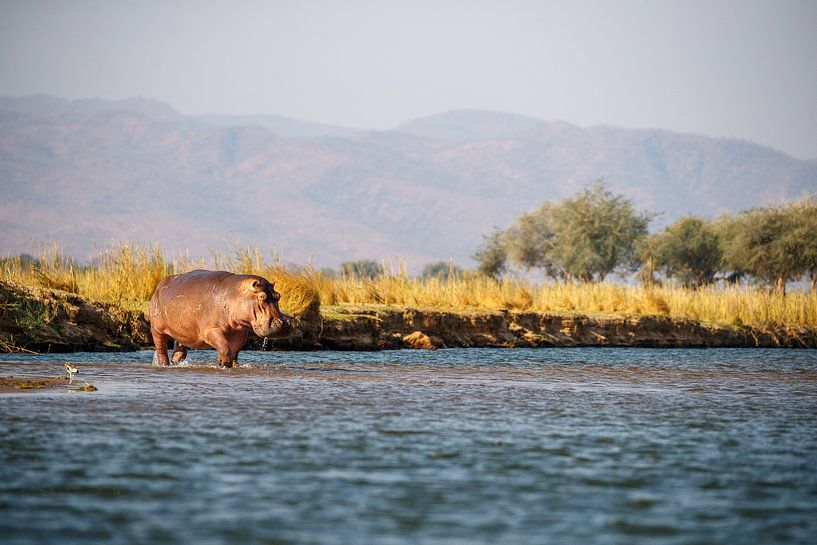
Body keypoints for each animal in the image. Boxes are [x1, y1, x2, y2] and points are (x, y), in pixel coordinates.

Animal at [149, 270, 292, 367]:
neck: (234, 294)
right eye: (261, 296)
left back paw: (176, 362)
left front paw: (234, 365)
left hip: (182, 330)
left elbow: (234, 350)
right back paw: (164, 364)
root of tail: (159, 286)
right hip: (157, 329)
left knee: (179, 347)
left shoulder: (240, 333)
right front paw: (224, 364)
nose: (283, 323)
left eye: (278, 296)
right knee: (161, 348)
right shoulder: (210, 331)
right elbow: (224, 346)